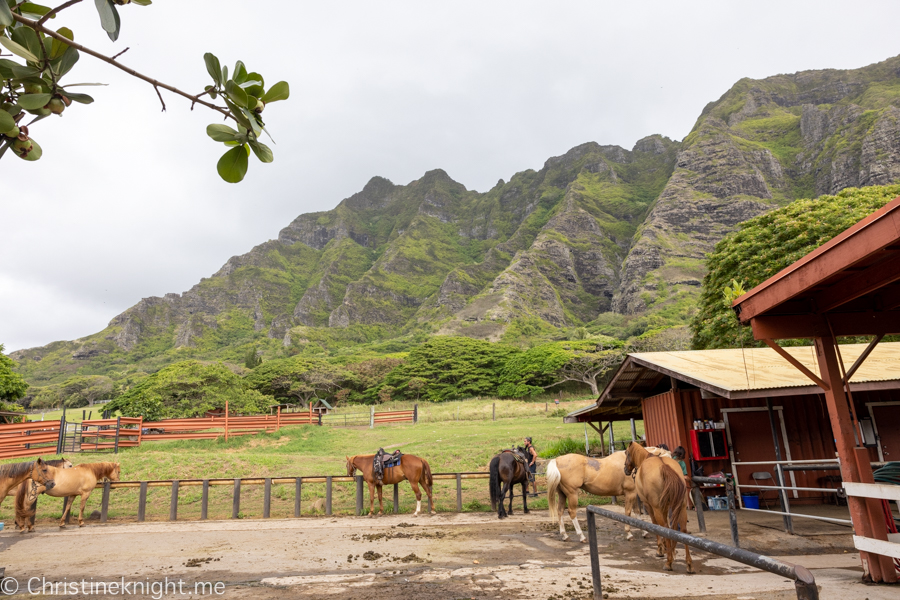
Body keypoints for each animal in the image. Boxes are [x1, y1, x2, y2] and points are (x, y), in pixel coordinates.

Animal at [624, 442, 696, 576]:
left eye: (626, 453)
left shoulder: (649, 505)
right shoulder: (666, 506)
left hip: (657, 507)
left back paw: (668, 562)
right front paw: (668, 548)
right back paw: (689, 564)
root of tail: (664, 467)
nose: (625, 469)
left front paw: (661, 549)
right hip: (681, 507)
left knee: (665, 527)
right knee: (682, 530)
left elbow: (655, 524)